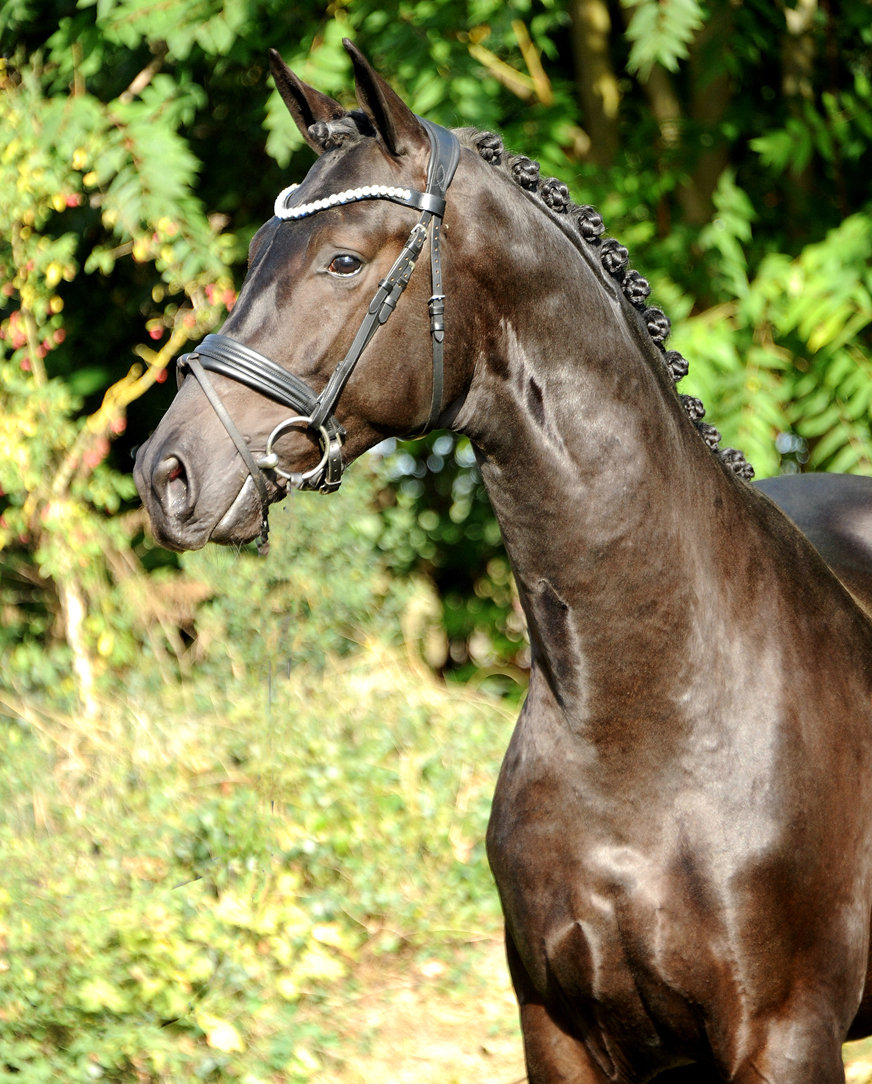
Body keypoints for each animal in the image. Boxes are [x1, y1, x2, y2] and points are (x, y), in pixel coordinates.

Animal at [132, 40, 872, 1075]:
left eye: (344, 259)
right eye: (251, 257)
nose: (167, 473)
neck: (648, 711)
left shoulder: (788, 1036)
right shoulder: (560, 1031)